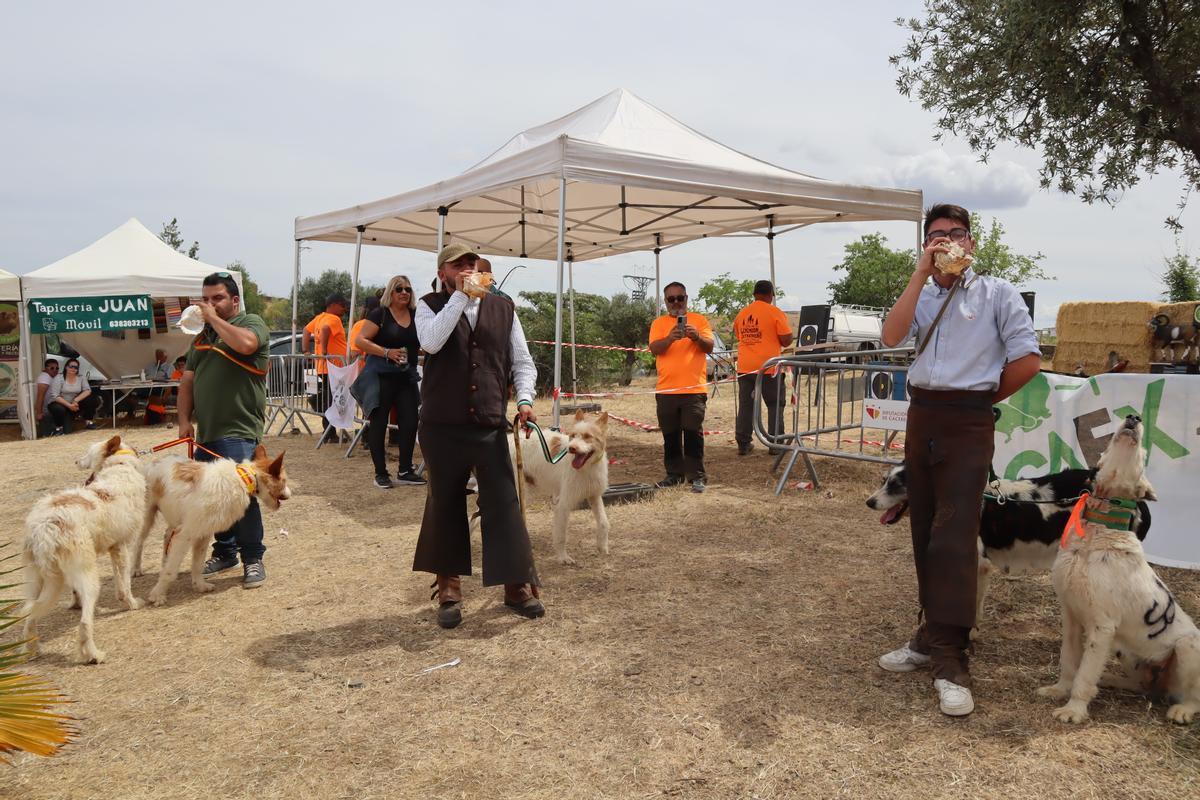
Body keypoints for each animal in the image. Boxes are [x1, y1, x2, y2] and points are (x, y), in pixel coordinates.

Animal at [21, 434, 147, 666]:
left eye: (87, 453)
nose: (76, 461)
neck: (120, 466)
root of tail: (46, 526)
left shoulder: (114, 549)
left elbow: (115, 583)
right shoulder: (122, 547)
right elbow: (125, 584)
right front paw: (132, 603)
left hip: (35, 580)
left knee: (29, 616)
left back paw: (33, 650)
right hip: (89, 577)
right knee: (84, 623)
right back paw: (93, 655)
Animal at [138, 443, 290, 606]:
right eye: (284, 480)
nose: (290, 494)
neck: (244, 478)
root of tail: (153, 462)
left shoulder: (203, 534)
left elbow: (197, 564)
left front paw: (200, 585)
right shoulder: (185, 534)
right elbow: (170, 570)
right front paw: (158, 595)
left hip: (174, 518)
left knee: (167, 536)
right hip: (146, 518)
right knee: (138, 543)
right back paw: (135, 571)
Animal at [513, 410, 614, 566]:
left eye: (587, 437)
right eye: (572, 436)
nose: (572, 448)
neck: (587, 468)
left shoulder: (594, 496)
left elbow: (604, 523)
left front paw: (602, 547)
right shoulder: (563, 505)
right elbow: (561, 535)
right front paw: (562, 557)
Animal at [1036, 419, 1195, 724]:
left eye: (1143, 455)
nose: (1133, 418)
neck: (1097, 532)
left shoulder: (1102, 626)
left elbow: (1085, 672)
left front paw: (1074, 710)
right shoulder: (1070, 614)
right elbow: (1068, 659)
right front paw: (1060, 690)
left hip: (1187, 646)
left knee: (1194, 696)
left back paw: (1182, 710)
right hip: (1127, 651)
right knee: (1142, 685)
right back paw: (1111, 680)